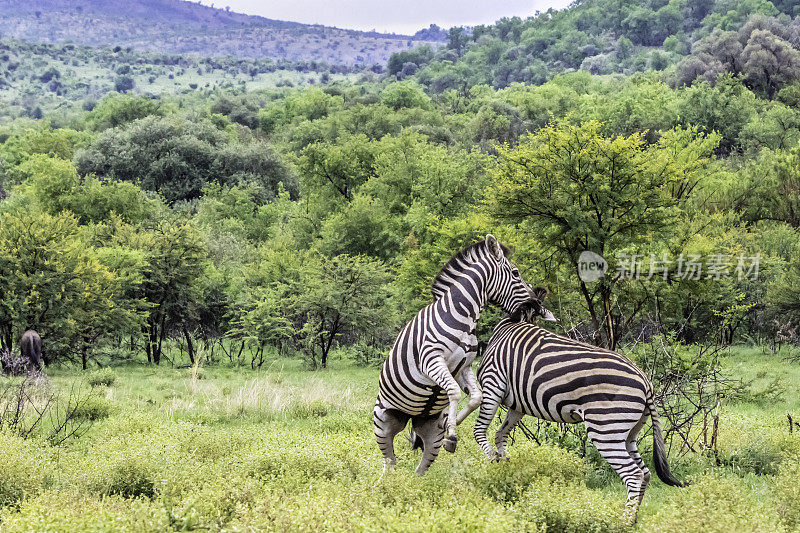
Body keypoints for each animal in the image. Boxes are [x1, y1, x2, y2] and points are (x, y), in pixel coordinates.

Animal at [374, 234, 536, 474]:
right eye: (515, 273)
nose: (536, 302)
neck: (463, 316)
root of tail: (412, 418)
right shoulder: (431, 360)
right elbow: (454, 391)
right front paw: (451, 434)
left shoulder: (464, 366)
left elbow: (476, 397)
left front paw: (452, 424)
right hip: (383, 420)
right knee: (388, 462)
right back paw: (386, 482)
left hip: (429, 434)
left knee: (417, 470)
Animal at [476, 298, 688, 520]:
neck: (510, 324)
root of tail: (646, 381)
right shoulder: (517, 404)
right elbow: (500, 434)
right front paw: (504, 471)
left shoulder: (493, 383)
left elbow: (480, 430)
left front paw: (492, 462)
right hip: (629, 431)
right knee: (645, 473)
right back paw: (634, 518)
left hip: (606, 428)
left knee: (634, 475)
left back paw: (625, 521)